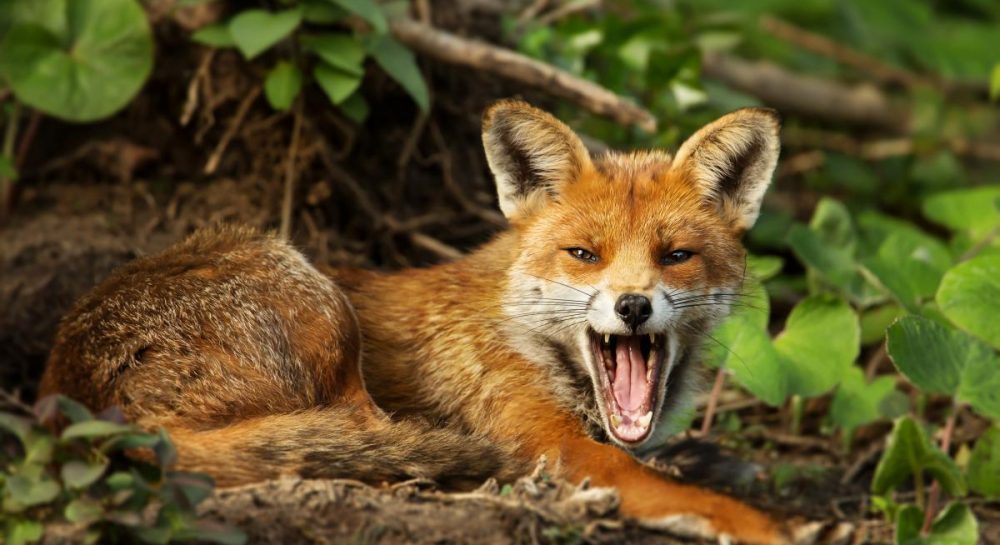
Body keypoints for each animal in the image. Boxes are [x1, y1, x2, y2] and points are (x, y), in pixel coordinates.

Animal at [39, 101, 792, 540]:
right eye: (585, 254)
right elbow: (665, 486)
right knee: (366, 444)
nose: (633, 306)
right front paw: (760, 523)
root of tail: (75, 396)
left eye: (676, 256)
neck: (525, 337)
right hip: (318, 303)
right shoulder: (554, 443)